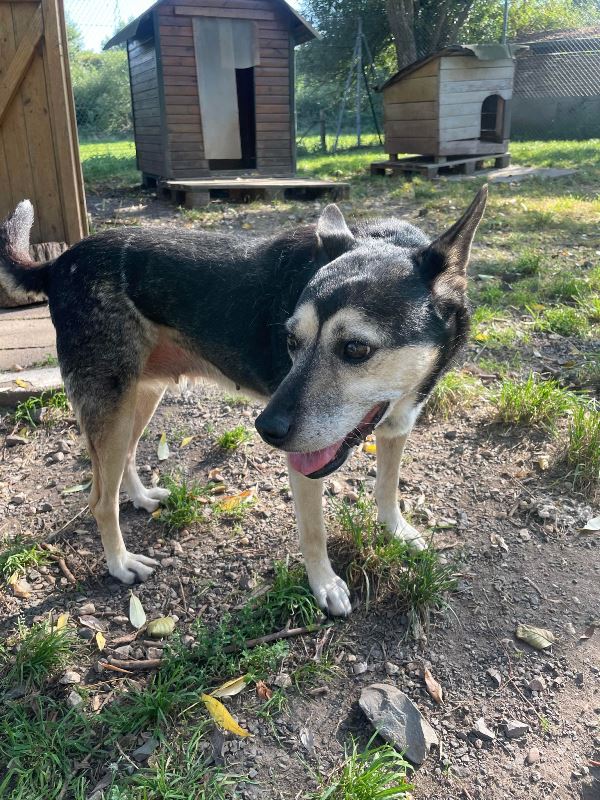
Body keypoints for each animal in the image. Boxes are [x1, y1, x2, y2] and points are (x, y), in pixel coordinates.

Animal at [0, 189, 486, 620]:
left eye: (356, 349)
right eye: (291, 340)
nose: (266, 430)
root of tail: (58, 264)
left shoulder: (398, 425)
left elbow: (387, 488)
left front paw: (397, 532)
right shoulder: (306, 462)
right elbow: (314, 531)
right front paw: (324, 586)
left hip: (140, 395)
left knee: (123, 462)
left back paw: (139, 497)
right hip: (112, 402)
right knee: (100, 497)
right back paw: (121, 564)